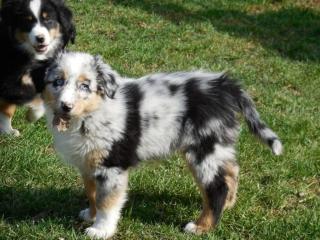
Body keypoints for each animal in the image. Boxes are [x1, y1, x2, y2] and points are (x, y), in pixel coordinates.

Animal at [0, 0, 75, 135]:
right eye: (27, 21)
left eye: (48, 20)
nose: (40, 38)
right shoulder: (9, 82)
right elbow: (35, 98)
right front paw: (32, 115)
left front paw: (7, 131)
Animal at [42, 51, 282, 239]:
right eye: (58, 82)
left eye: (85, 86)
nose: (65, 106)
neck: (89, 114)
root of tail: (224, 86)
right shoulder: (88, 163)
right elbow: (92, 193)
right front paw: (90, 215)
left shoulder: (111, 165)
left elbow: (107, 201)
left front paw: (101, 230)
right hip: (217, 146)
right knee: (231, 170)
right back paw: (228, 204)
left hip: (203, 149)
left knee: (217, 186)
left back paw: (201, 227)